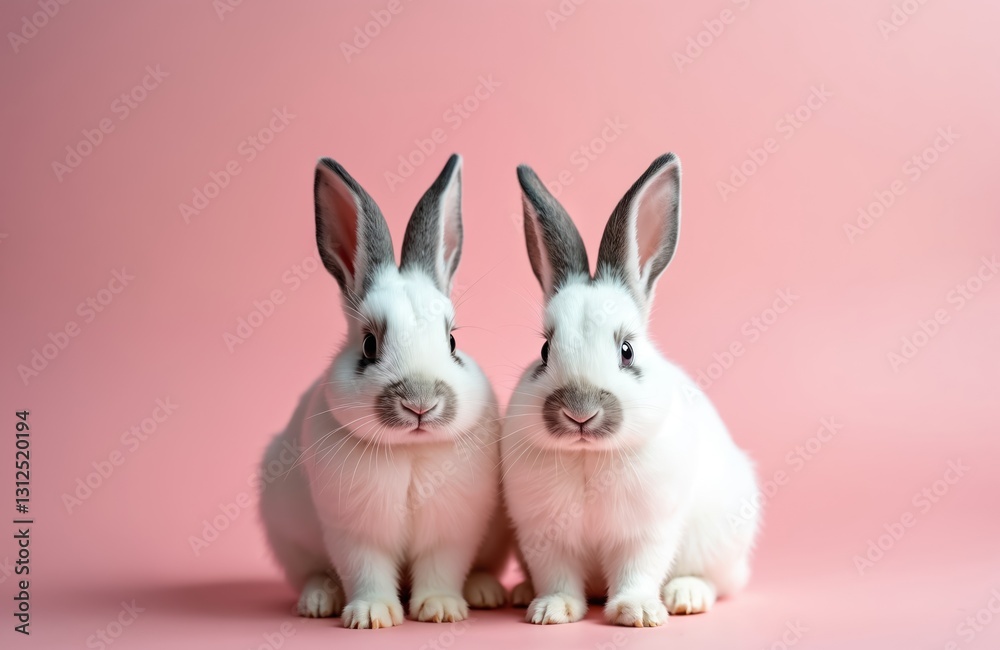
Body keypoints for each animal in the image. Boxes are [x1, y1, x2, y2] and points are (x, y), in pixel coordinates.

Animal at [259, 154, 511, 629]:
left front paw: (441, 610)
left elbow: (440, 568)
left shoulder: (452, 530)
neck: (409, 450)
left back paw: (485, 591)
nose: (420, 403)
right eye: (369, 345)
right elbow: (367, 571)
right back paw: (318, 600)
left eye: (452, 342)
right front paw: (371, 616)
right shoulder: (355, 532)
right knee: (314, 573)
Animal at [501, 153, 761, 627]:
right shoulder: (543, 534)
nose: (580, 412)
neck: (588, 457)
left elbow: (638, 569)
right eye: (544, 350)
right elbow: (557, 575)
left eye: (627, 350)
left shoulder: (647, 532)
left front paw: (637, 612)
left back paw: (685, 596)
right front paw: (551, 610)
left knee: (718, 581)